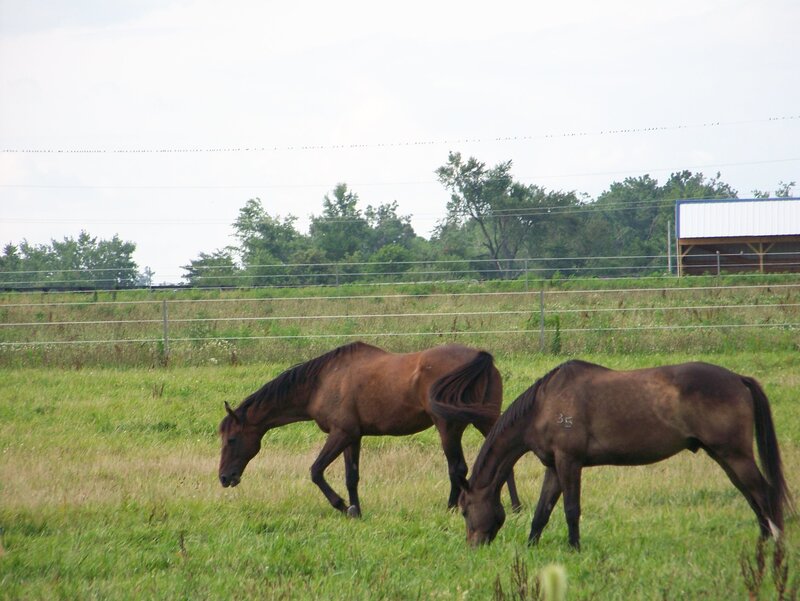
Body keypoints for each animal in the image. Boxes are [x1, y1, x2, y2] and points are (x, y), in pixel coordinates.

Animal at [218, 341, 521, 516]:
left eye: (231, 439)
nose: (224, 477)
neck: (323, 381)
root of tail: (479, 357)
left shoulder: (340, 434)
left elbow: (316, 471)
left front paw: (342, 506)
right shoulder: (353, 437)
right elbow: (352, 477)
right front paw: (357, 510)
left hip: (448, 427)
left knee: (457, 468)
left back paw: (451, 508)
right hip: (485, 421)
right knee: (503, 461)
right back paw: (515, 507)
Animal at [431, 359, 793, 549]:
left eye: (465, 510)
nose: (474, 546)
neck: (544, 405)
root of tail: (738, 379)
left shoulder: (570, 462)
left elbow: (571, 509)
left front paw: (574, 549)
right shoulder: (554, 466)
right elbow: (542, 512)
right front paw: (531, 548)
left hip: (735, 454)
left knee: (763, 492)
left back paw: (774, 544)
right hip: (724, 456)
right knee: (751, 495)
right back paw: (762, 540)